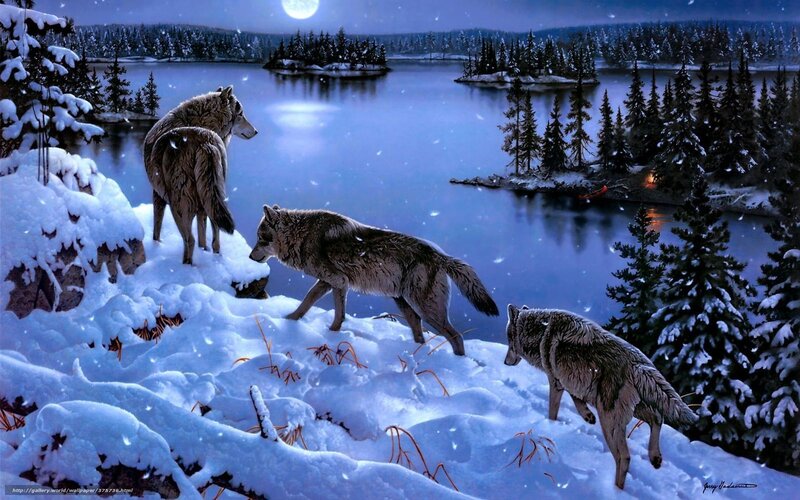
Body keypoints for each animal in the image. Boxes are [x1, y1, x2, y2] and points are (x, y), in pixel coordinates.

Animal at [143, 85, 257, 263]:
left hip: (179, 206)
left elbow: (157, 228)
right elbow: (202, 233)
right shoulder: (200, 204)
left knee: (189, 240)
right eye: (241, 114)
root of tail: (205, 142)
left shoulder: (158, 194)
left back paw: (186, 266)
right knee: (216, 236)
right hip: (213, 198)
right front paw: (204, 250)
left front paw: (156, 247)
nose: (256, 131)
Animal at [248, 205, 499, 355]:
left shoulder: (338, 281)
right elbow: (308, 302)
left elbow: (335, 311)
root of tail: (441, 255)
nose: (250, 256)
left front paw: (332, 333)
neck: (301, 235)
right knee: (419, 333)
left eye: (260, 238)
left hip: (426, 309)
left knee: (456, 337)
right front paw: (290, 319)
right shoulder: (328, 282)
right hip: (405, 305)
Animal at [503, 306, 697, 490]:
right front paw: (587, 416)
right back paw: (655, 458)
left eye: (508, 340)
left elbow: (553, 411)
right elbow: (577, 399)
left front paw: (551, 427)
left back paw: (616, 490)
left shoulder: (555, 382)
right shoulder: (573, 382)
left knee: (624, 457)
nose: (505, 362)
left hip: (609, 422)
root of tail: (639, 366)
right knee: (657, 419)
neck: (540, 331)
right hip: (634, 411)